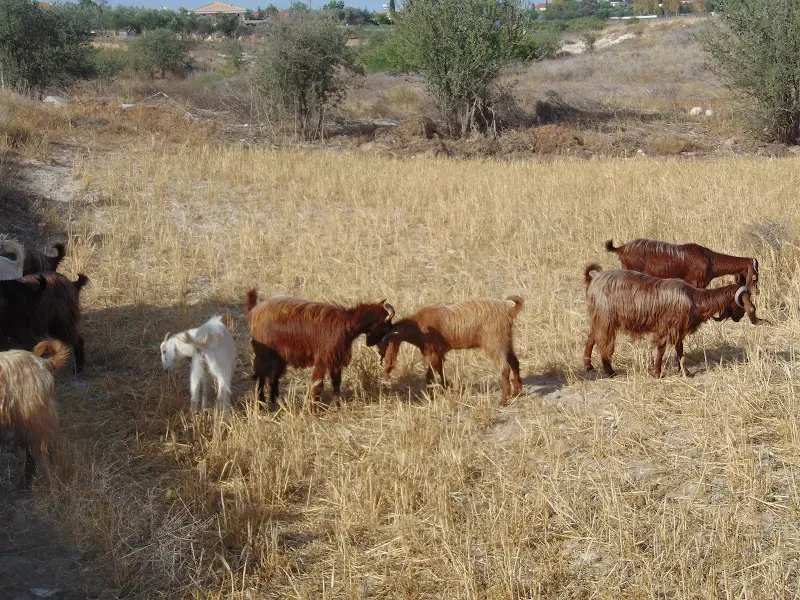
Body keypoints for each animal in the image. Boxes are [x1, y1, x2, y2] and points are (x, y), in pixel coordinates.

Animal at [246, 291, 395, 408]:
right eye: (387, 325)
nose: (386, 344)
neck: (346, 323)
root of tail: (254, 311)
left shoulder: (335, 360)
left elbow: (336, 383)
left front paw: (337, 406)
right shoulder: (323, 360)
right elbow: (318, 385)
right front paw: (314, 409)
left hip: (279, 356)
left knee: (273, 376)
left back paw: (274, 401)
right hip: (264, 353)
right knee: (261, 376)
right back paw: (261, 403)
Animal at [377, 296, 524, 406]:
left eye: (385, 341)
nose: (380, 355)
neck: (419, 326)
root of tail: (509, 309)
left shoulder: (433, 354)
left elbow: (429, 376)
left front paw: (432, 397)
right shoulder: (440, 353)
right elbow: (441, 372)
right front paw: (444, 389)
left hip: (494, 343)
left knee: (505, 368)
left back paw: (503, 401)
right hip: (506, 341)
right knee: (515, 362)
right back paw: (517, 392)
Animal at [583, 264, 762, 378]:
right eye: (741, 303)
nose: (739, 318)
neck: (694, 299)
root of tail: (594, 280)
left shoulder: (678, 330)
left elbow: (680, 350)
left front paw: (685, 372)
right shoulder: (667, 328)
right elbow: (662, 350)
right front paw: (658, 373)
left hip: (599, 319)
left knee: (591, 338)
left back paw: (588, 366)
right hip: (606, 319)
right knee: (603, 342)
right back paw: (609, 371)